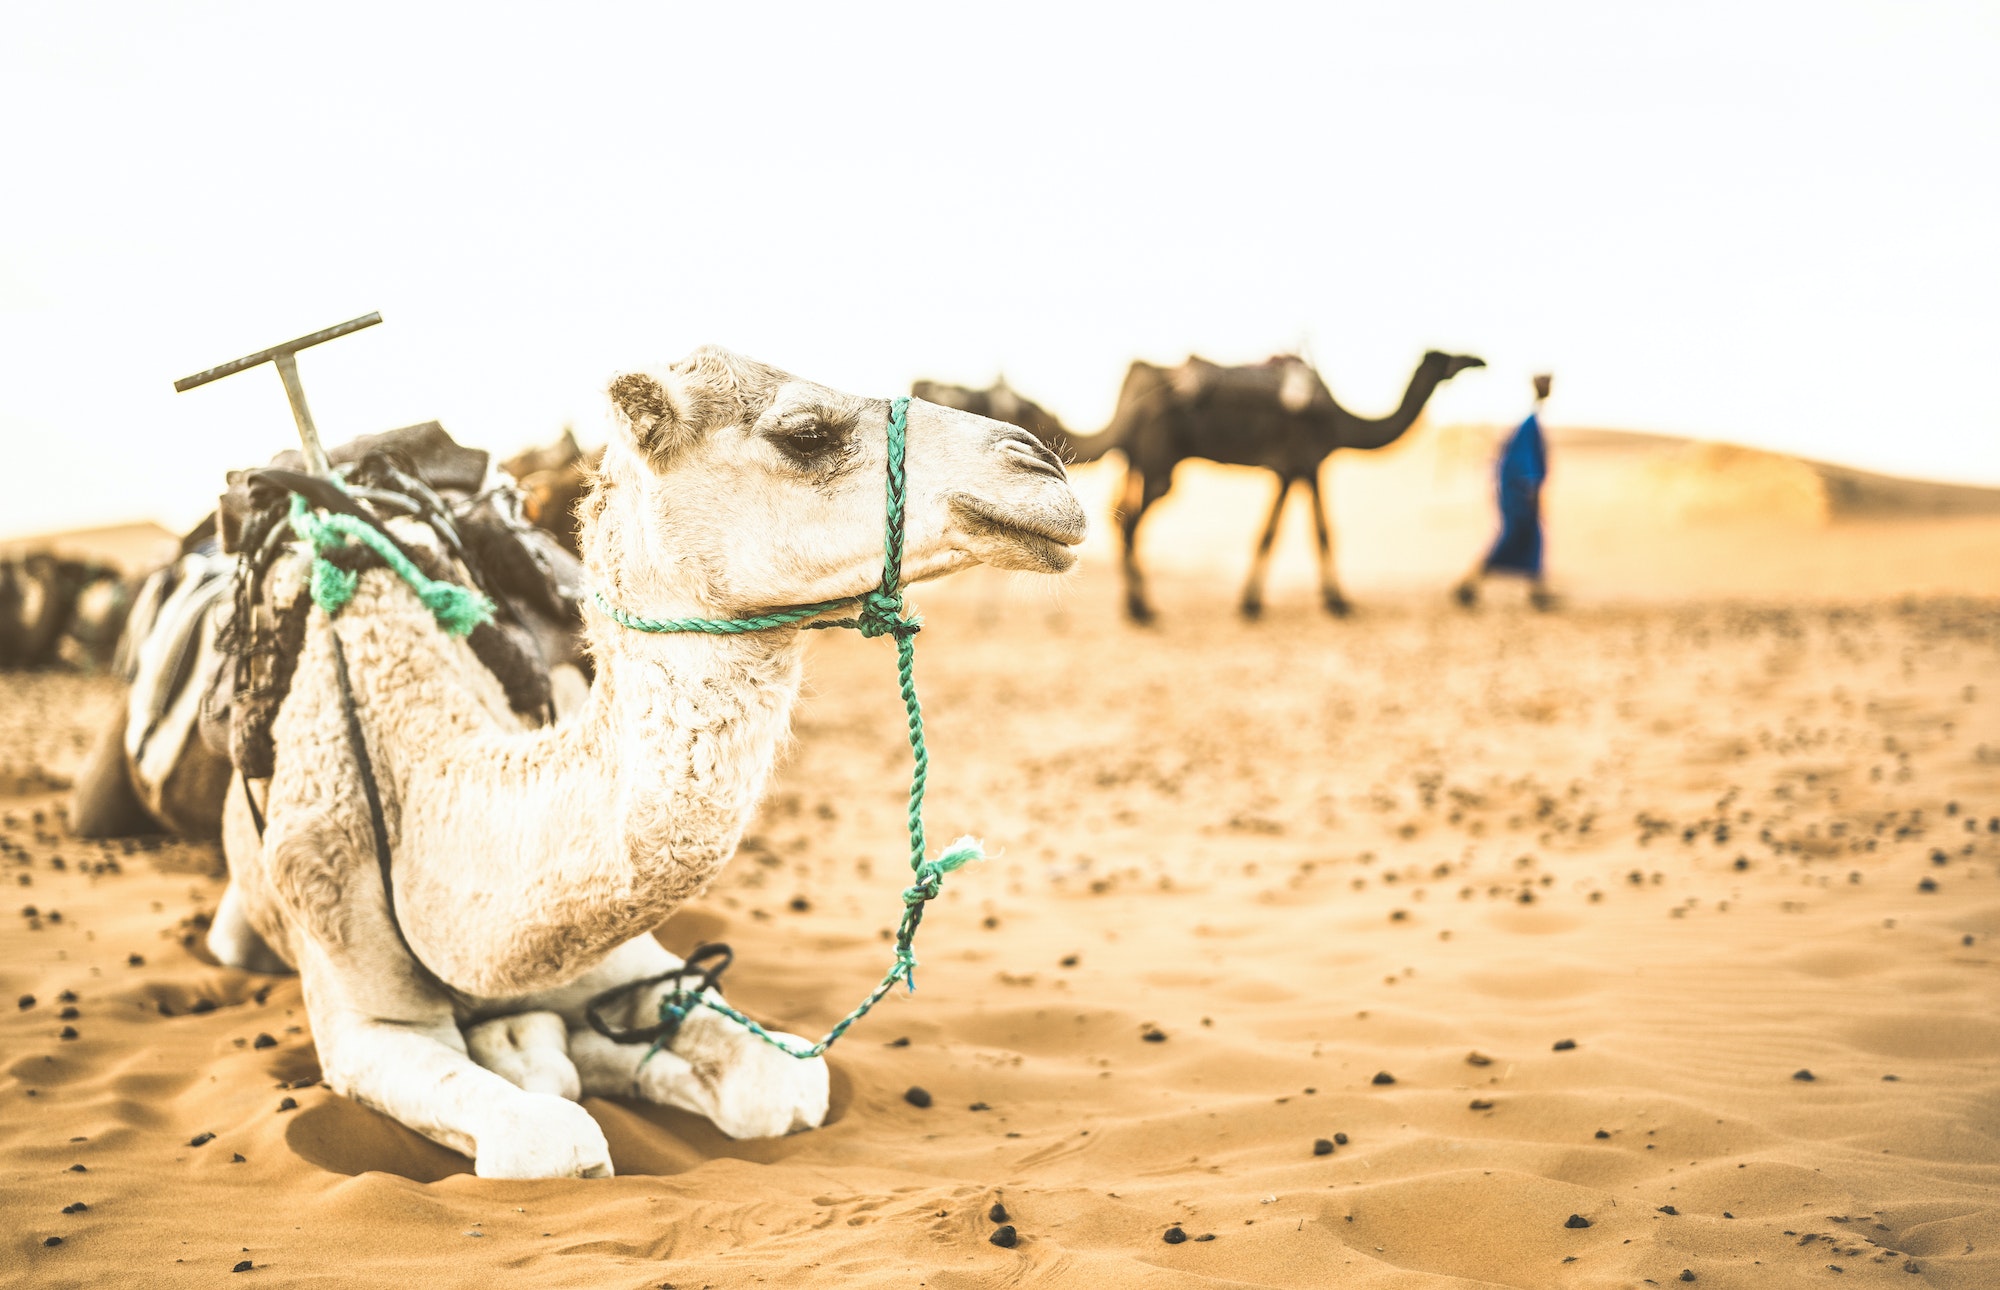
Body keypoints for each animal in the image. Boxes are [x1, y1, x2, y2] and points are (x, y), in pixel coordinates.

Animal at [211, 348, 1088, 1176]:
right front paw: (533, 1056)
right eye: (806, 433)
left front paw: (564, 1049)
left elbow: (783, 1084)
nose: (1044, 469)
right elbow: (550, 1140)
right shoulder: (357, 1006)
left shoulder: (621, 961)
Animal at [1064, 348, 1488, 620]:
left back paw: (1134, 606)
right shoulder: (1303, 461)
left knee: (1123, 518)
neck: (1341, 421)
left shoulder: (1295, 469)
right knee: (1133, 524)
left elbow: (1288, 530)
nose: (1478, 360)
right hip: (1159, 463)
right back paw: (1143, 611)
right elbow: (1307, 531)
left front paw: (1258, 603)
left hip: (1140, 461)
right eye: (1449, 357)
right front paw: (1336, 604)